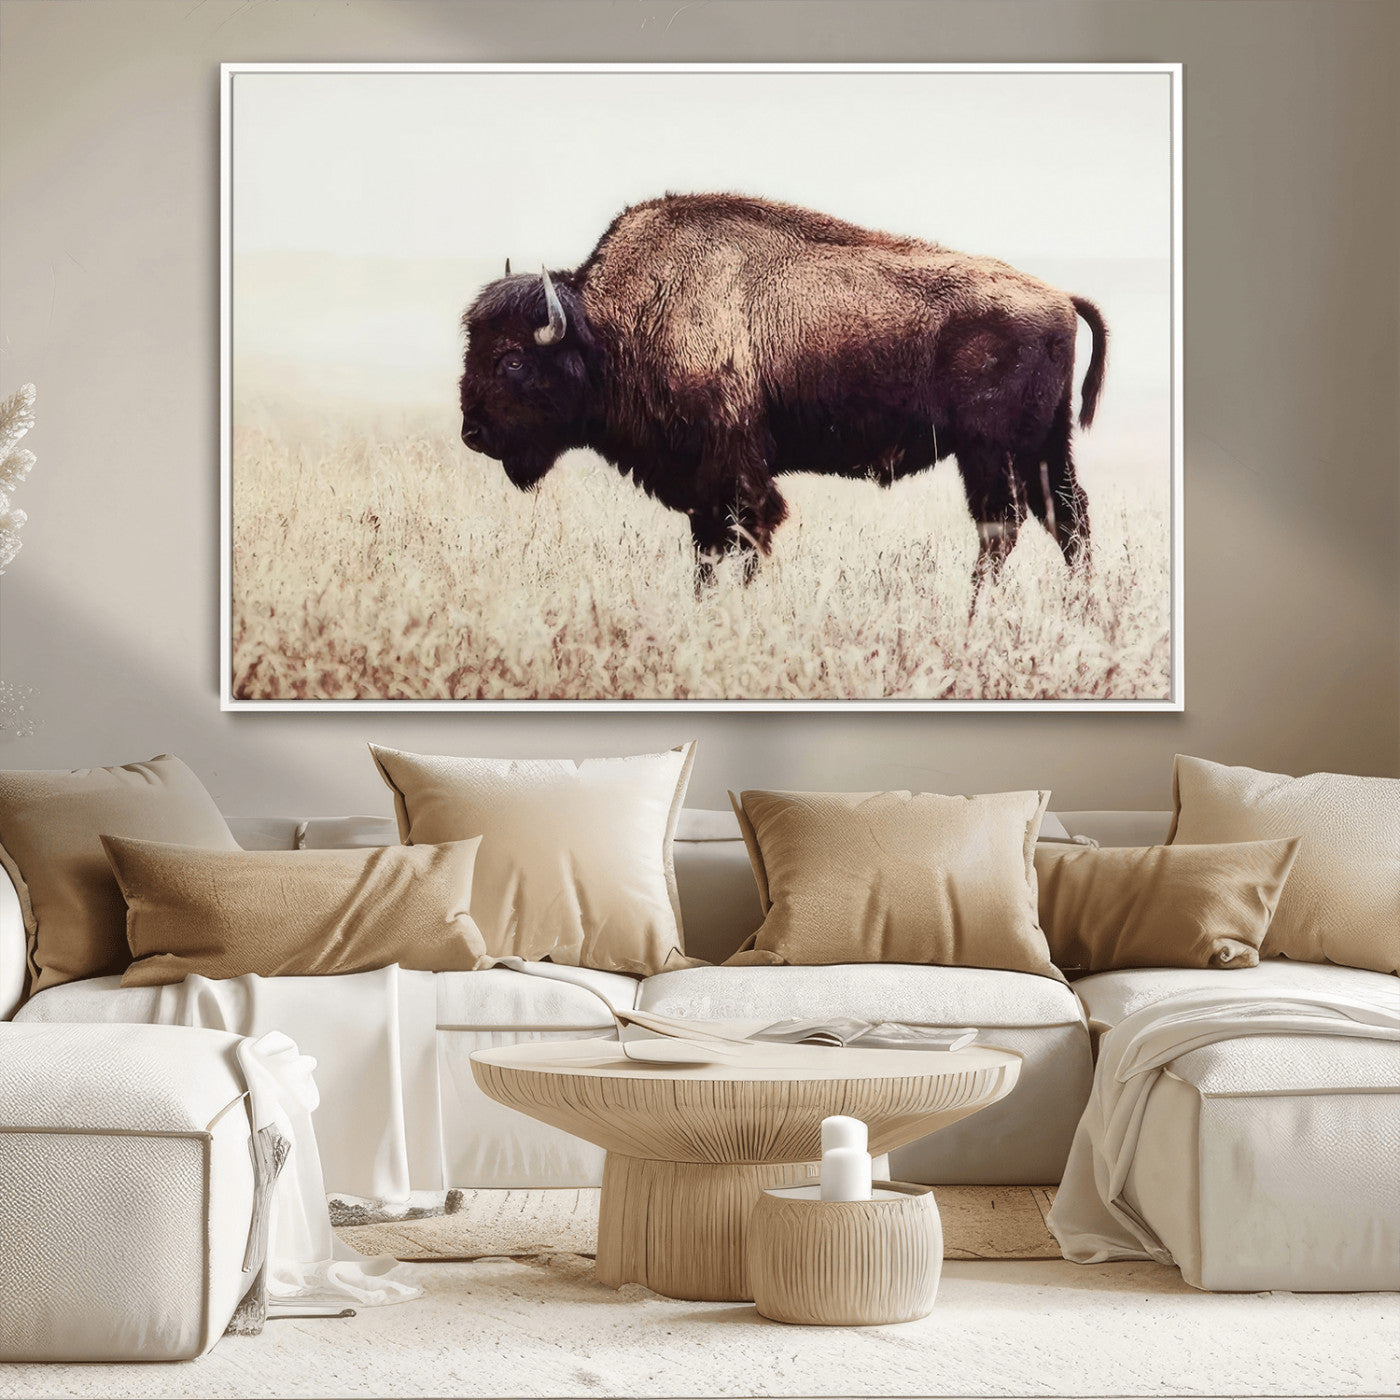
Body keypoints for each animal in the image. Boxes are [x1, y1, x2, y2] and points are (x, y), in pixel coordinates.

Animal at [459, 193, 1106, 588]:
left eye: (513, 359)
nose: (472, 433)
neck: (614, 325)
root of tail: (1059, 297)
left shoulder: (736, 472)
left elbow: (744, 539)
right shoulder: (704, 487)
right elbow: (709, 548)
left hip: (990, 452)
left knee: (1004, 526)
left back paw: (974, 610)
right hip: (1045, 448)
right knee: (1066, 521)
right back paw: (1077, 609)